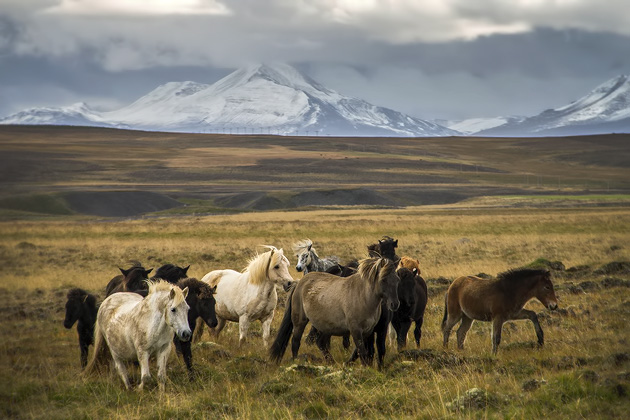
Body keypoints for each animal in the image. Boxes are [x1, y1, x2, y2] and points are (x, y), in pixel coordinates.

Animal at [270, 256, 400, 364]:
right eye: (383, 280)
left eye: (397, 279)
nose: (395, 304)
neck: (363, 296)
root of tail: (299, 283)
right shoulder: (356, 331)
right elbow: (362, 352)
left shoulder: (369, 331)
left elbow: (368, 353)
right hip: (300, 322)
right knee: (295, 342)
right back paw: (296, 362)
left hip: (325, 326)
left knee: (321, 342)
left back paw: (331, 362)